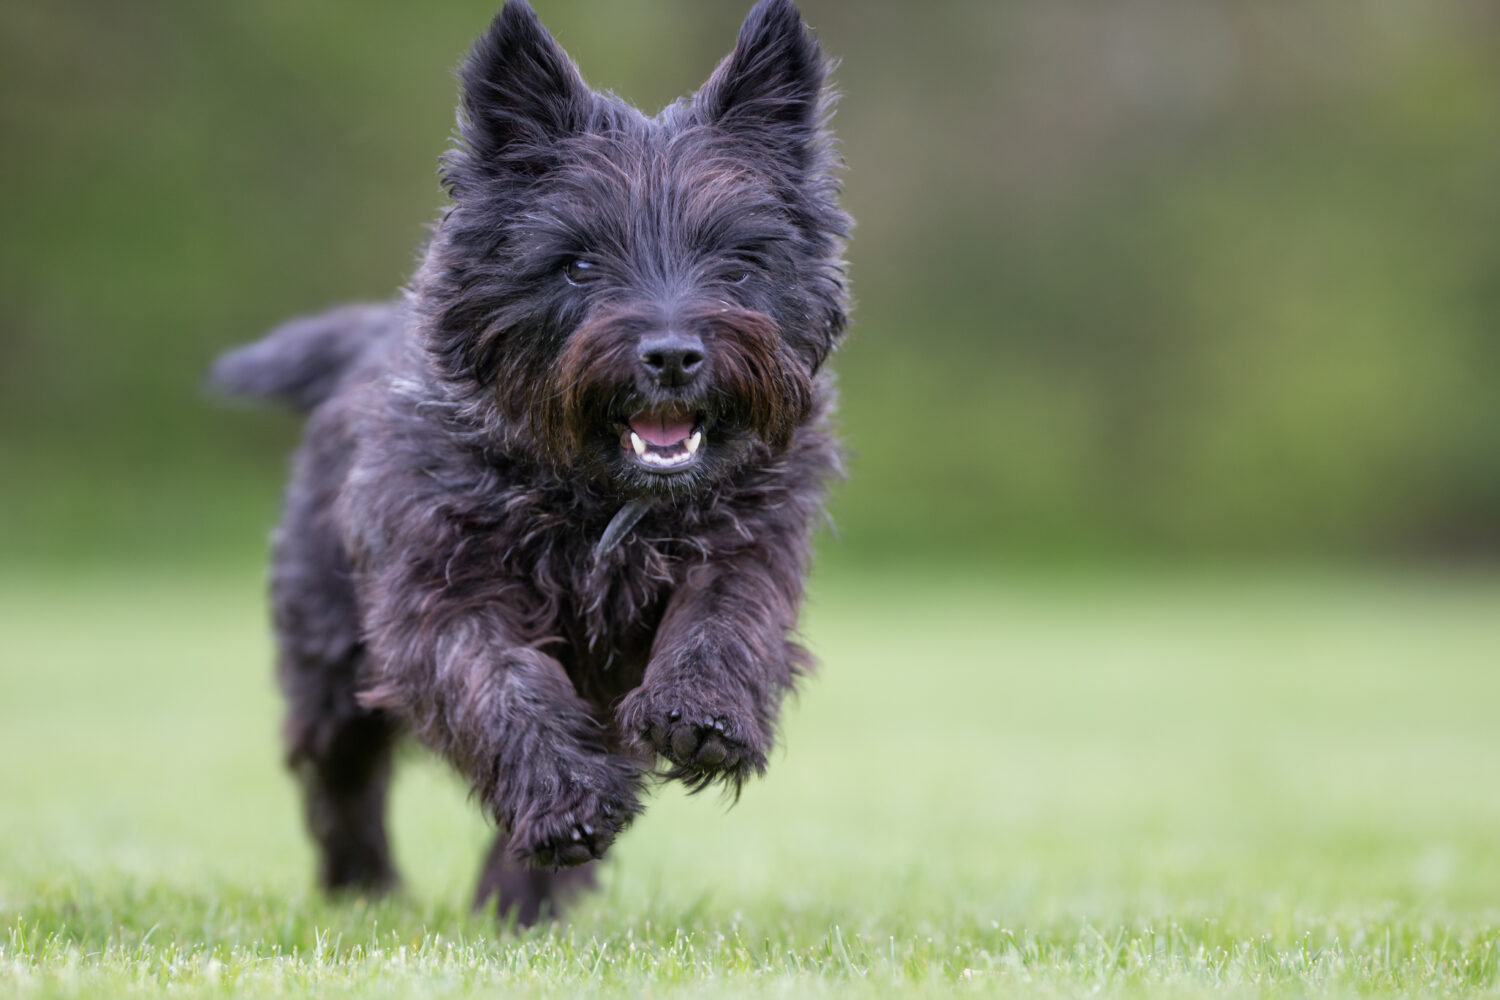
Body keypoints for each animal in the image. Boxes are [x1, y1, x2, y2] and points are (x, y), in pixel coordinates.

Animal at [211, 0, 852, 929]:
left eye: (738, 260)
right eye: (578, 262)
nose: (672, 356)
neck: (599, 502)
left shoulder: (754, 538)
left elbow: (728, 614)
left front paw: (703, 712)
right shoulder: (437, 593)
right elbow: (503, 683)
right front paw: (568, 802)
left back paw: (520, 898)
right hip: (328, 650)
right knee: (339, 772)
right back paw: (366, 886)